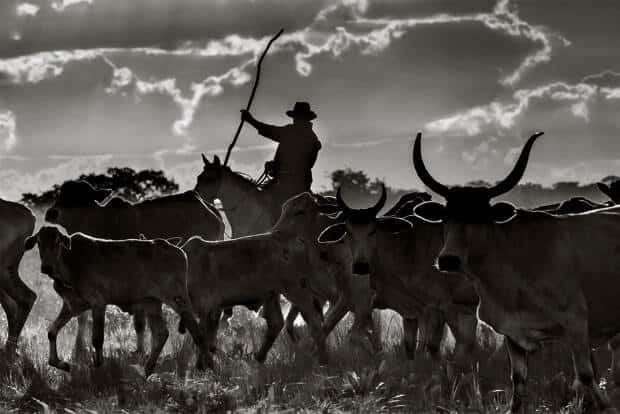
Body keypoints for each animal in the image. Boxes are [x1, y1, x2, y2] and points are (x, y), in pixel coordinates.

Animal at [24, 226, 208, 376]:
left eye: (57, 242)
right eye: (39, 242)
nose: (46, 267)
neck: (72, 263)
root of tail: (178, 250)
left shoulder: (98, 303)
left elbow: (97, 339)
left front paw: (98, 367)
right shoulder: (71, 306)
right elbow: (52, 331)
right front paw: (61, 364)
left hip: (178, 299)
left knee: (197, 332)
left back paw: (203, 366)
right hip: (152, 304)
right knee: (161, 334)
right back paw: (147, 369)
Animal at [45, 180, 225, 356]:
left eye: (78, 197)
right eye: (61, 194)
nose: (51, 213)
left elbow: (139, 322)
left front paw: (141, 350)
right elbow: (82, 316)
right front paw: (79, 348)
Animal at [412, 131, 620, 412]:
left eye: (480, 217)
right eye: (446, 217)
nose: (448, 260)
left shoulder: (576, 323)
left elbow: (586, 376)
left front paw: (606, 405)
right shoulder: (512, 334)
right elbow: (518, 383)